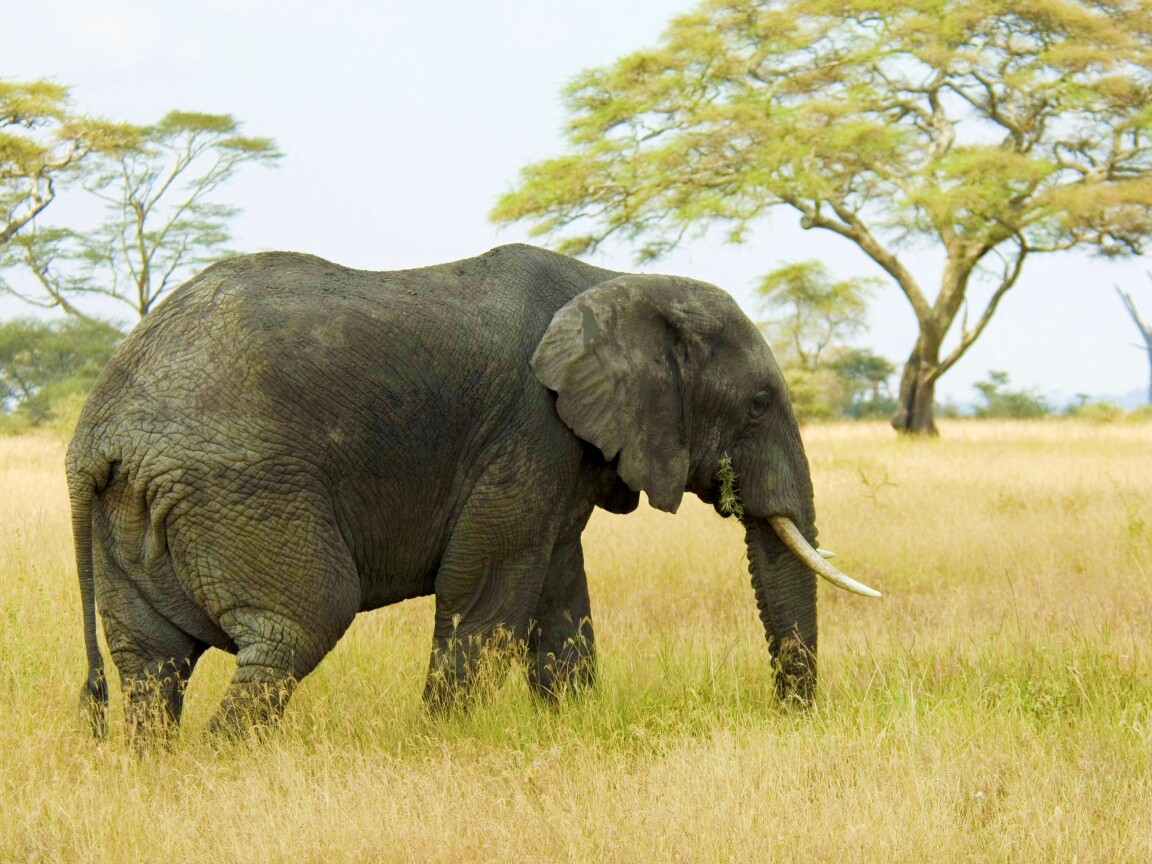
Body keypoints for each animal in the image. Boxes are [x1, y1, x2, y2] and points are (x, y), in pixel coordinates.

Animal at [67, 243, 879, 739]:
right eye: (758, 404)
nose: (791, 718)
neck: (616, 281)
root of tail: (96, 431)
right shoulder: (529, 428)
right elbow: (486, 588)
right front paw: (442, 741)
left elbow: (558, 594)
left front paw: (569, 729)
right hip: (241, 486)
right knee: (298, 625)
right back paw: (226, 764)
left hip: (137, 508)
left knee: (151, 662)